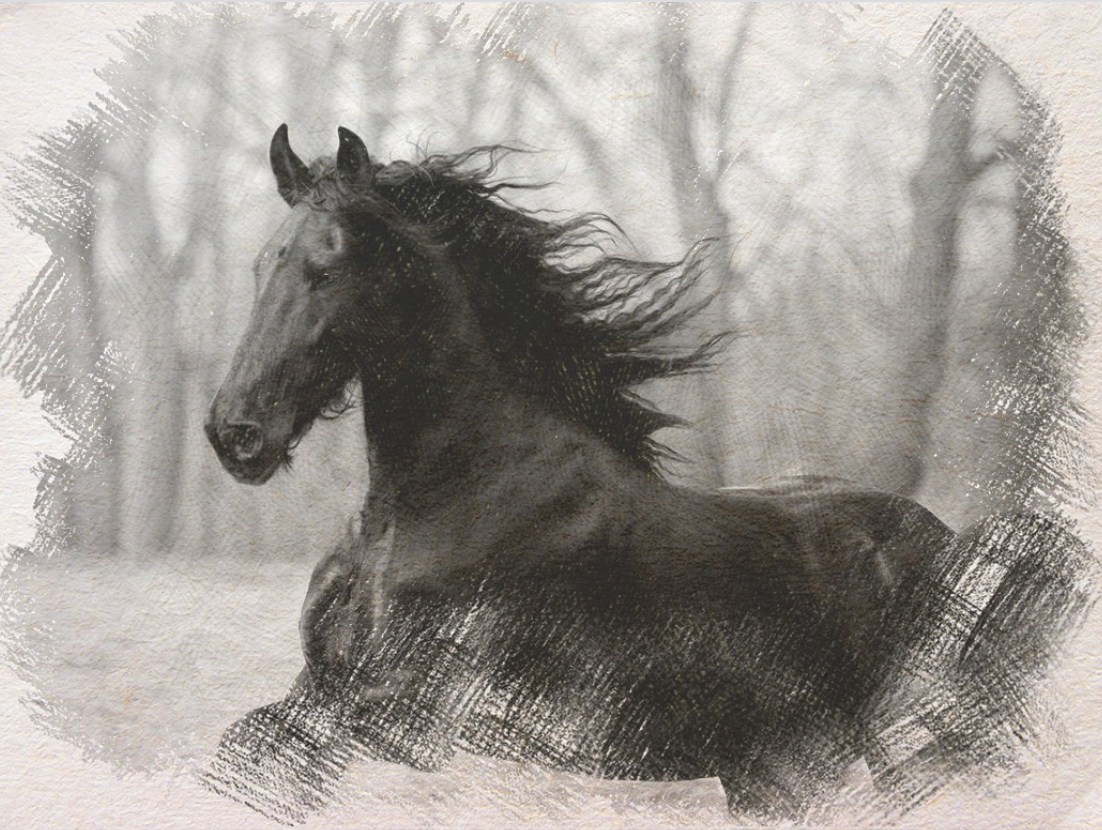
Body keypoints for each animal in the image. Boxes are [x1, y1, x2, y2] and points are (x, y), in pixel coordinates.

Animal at [201, 125, 1092, 824]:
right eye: (260, 265)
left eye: (328, 268)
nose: (234, 432)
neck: (440, 507)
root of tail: (959, 545)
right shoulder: (322, 690)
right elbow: (243, 754)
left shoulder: (414, 719)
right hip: (779, 773)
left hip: (918, 750)